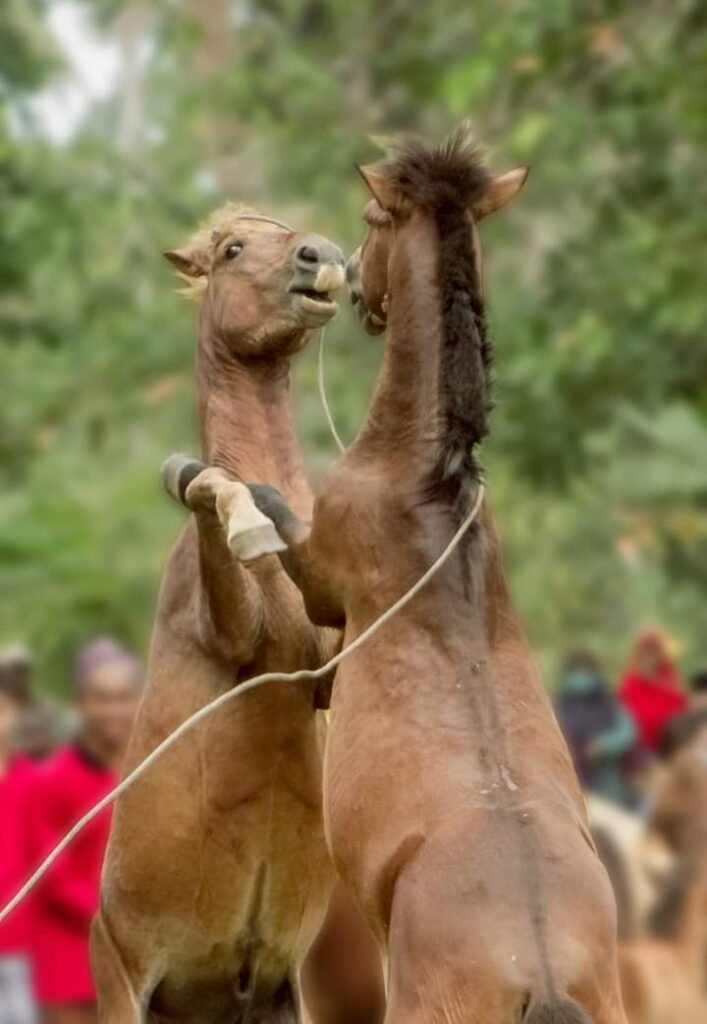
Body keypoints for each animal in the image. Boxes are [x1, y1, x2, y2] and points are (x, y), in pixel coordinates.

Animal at [92, 207, 385, 1024]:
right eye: (230, 249)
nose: (321, 256)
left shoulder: (326, 665)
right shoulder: (228, 631)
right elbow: (203, 490)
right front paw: (244, 519)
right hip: (123, 988)